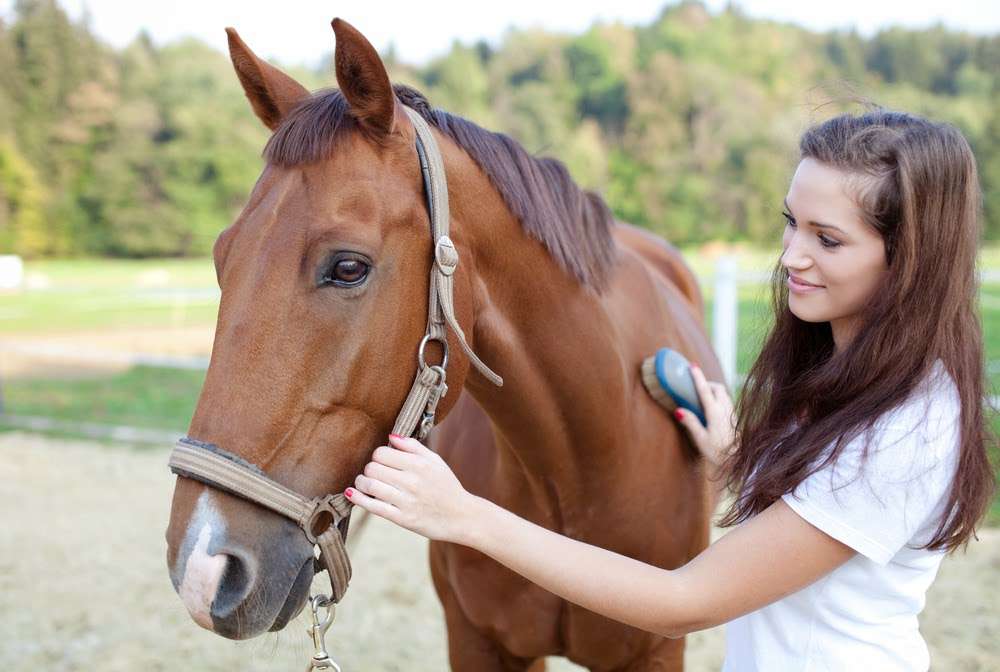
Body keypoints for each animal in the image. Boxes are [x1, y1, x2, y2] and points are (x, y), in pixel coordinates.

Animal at [168, 17, 724, 672]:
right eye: (220, 258)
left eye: (349, 267)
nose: (203, 569)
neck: (582, 465)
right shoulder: (476, 638)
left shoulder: (656, 651)